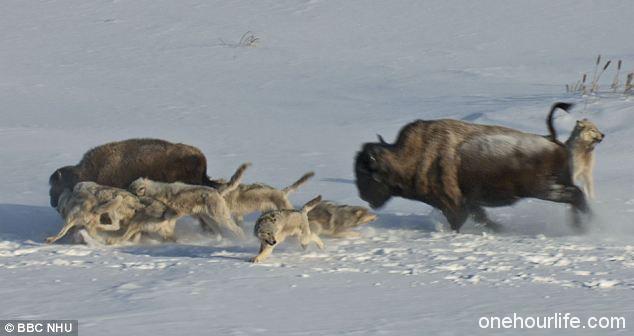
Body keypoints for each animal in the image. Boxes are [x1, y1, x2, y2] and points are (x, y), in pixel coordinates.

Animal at [356, 103, 588, 232]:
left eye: (366, 174)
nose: (363, 196)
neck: (409, 156)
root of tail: (551, 139)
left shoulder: (454, 206)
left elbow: (459, 221)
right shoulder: (470, 203)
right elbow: (483, 218)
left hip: (543, 189)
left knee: (575, 196)